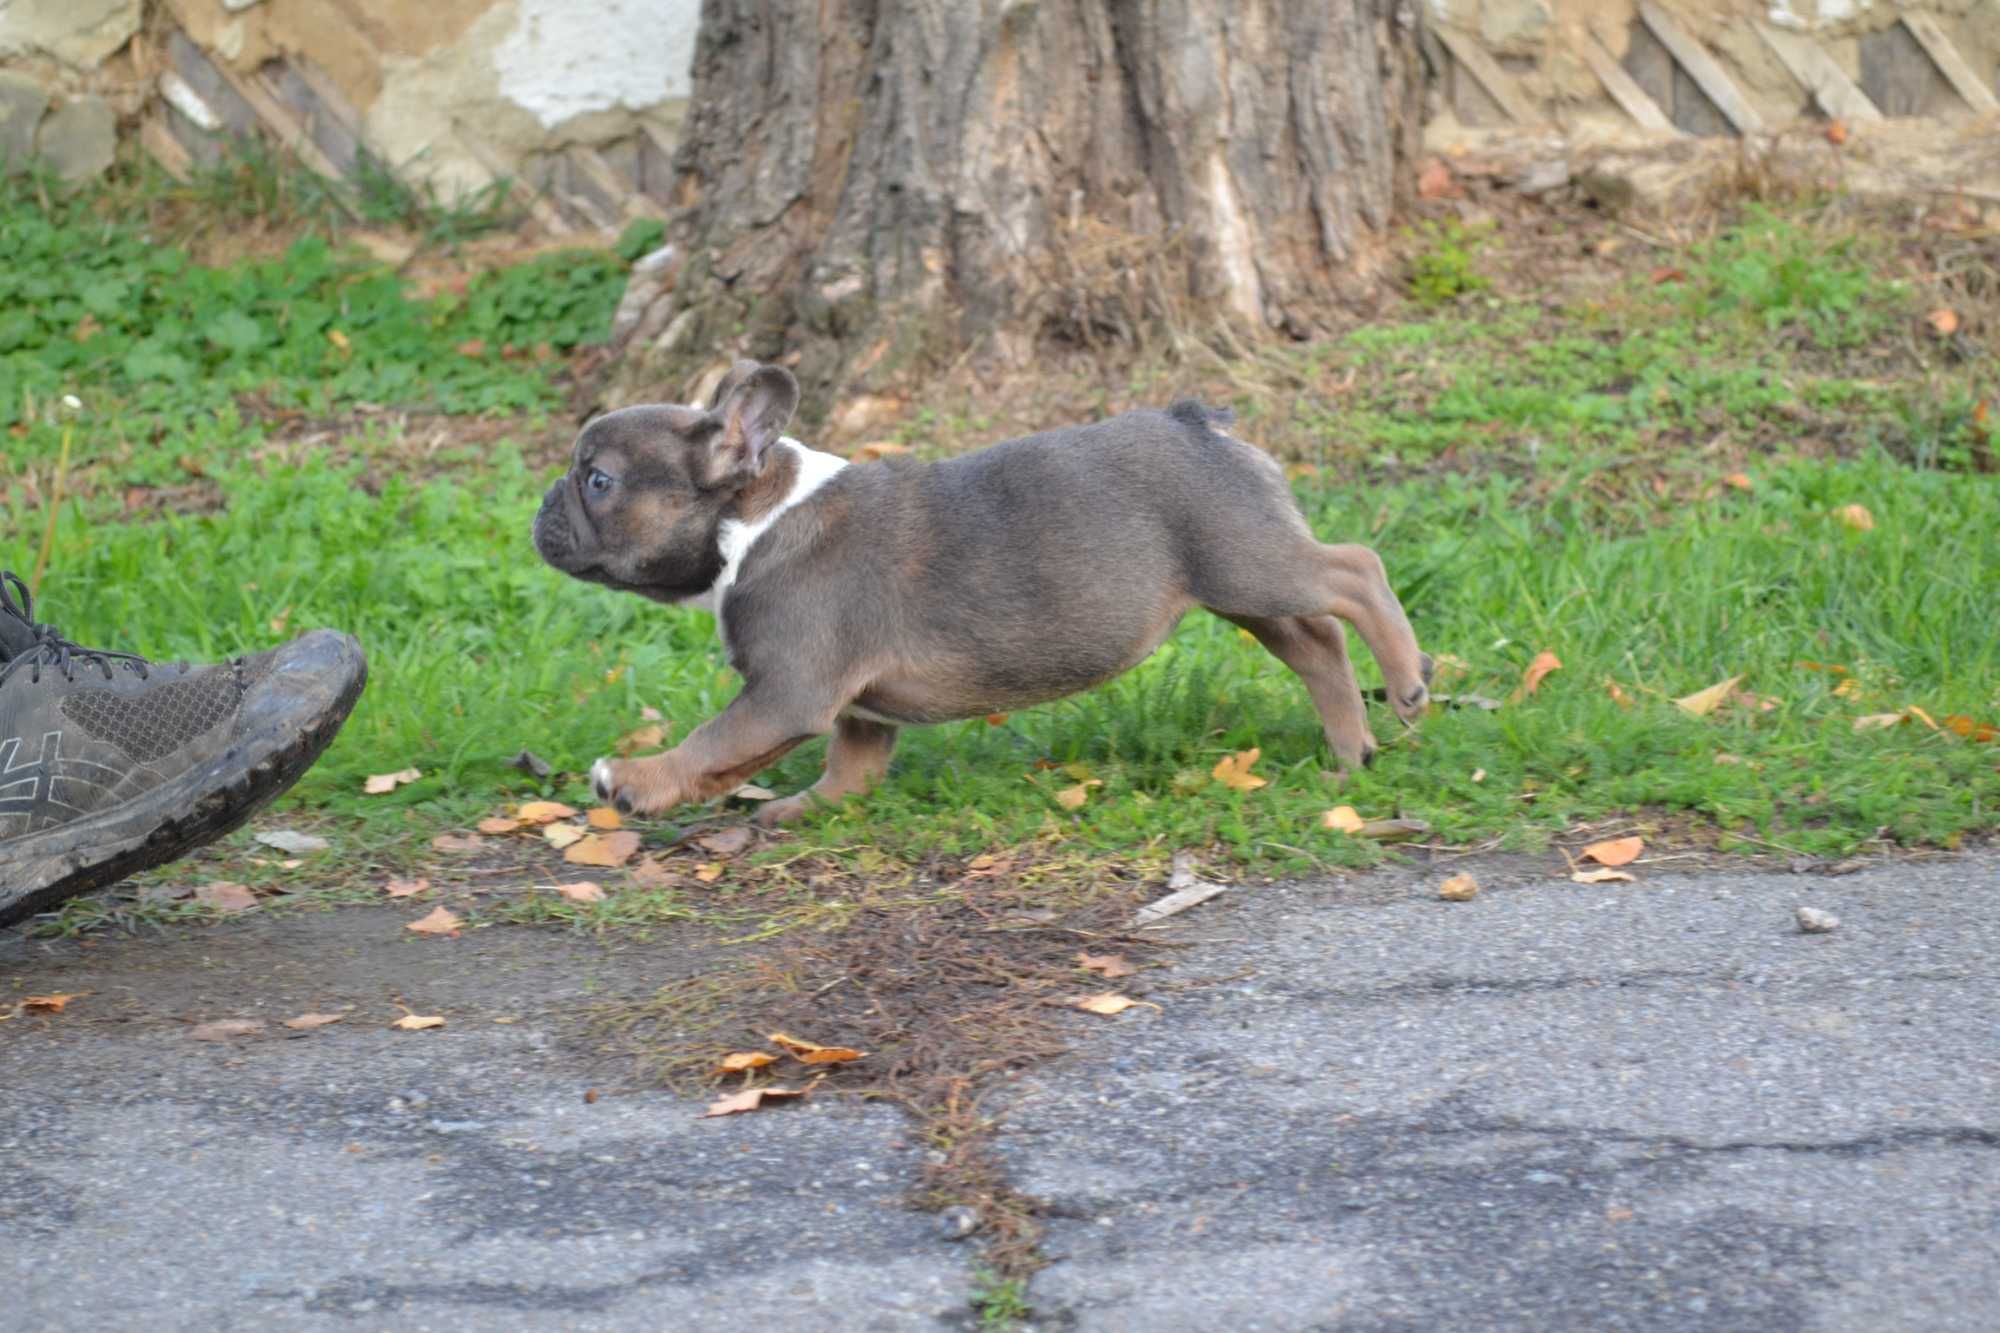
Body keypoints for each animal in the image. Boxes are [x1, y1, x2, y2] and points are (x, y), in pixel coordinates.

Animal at [540, 358, 1432, 824]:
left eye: (598, 479)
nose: (543, 505)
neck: (756, 517)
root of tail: (1197, 421)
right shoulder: (853, 705)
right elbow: (851, 765)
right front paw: (805, 808)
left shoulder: (786, 690)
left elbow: (712, 742)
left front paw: (635, 780)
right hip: (1239, 587)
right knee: (1317, 642)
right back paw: (1351, 753)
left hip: (1249, 561)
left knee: (1356, 570)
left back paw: (1409, 680)